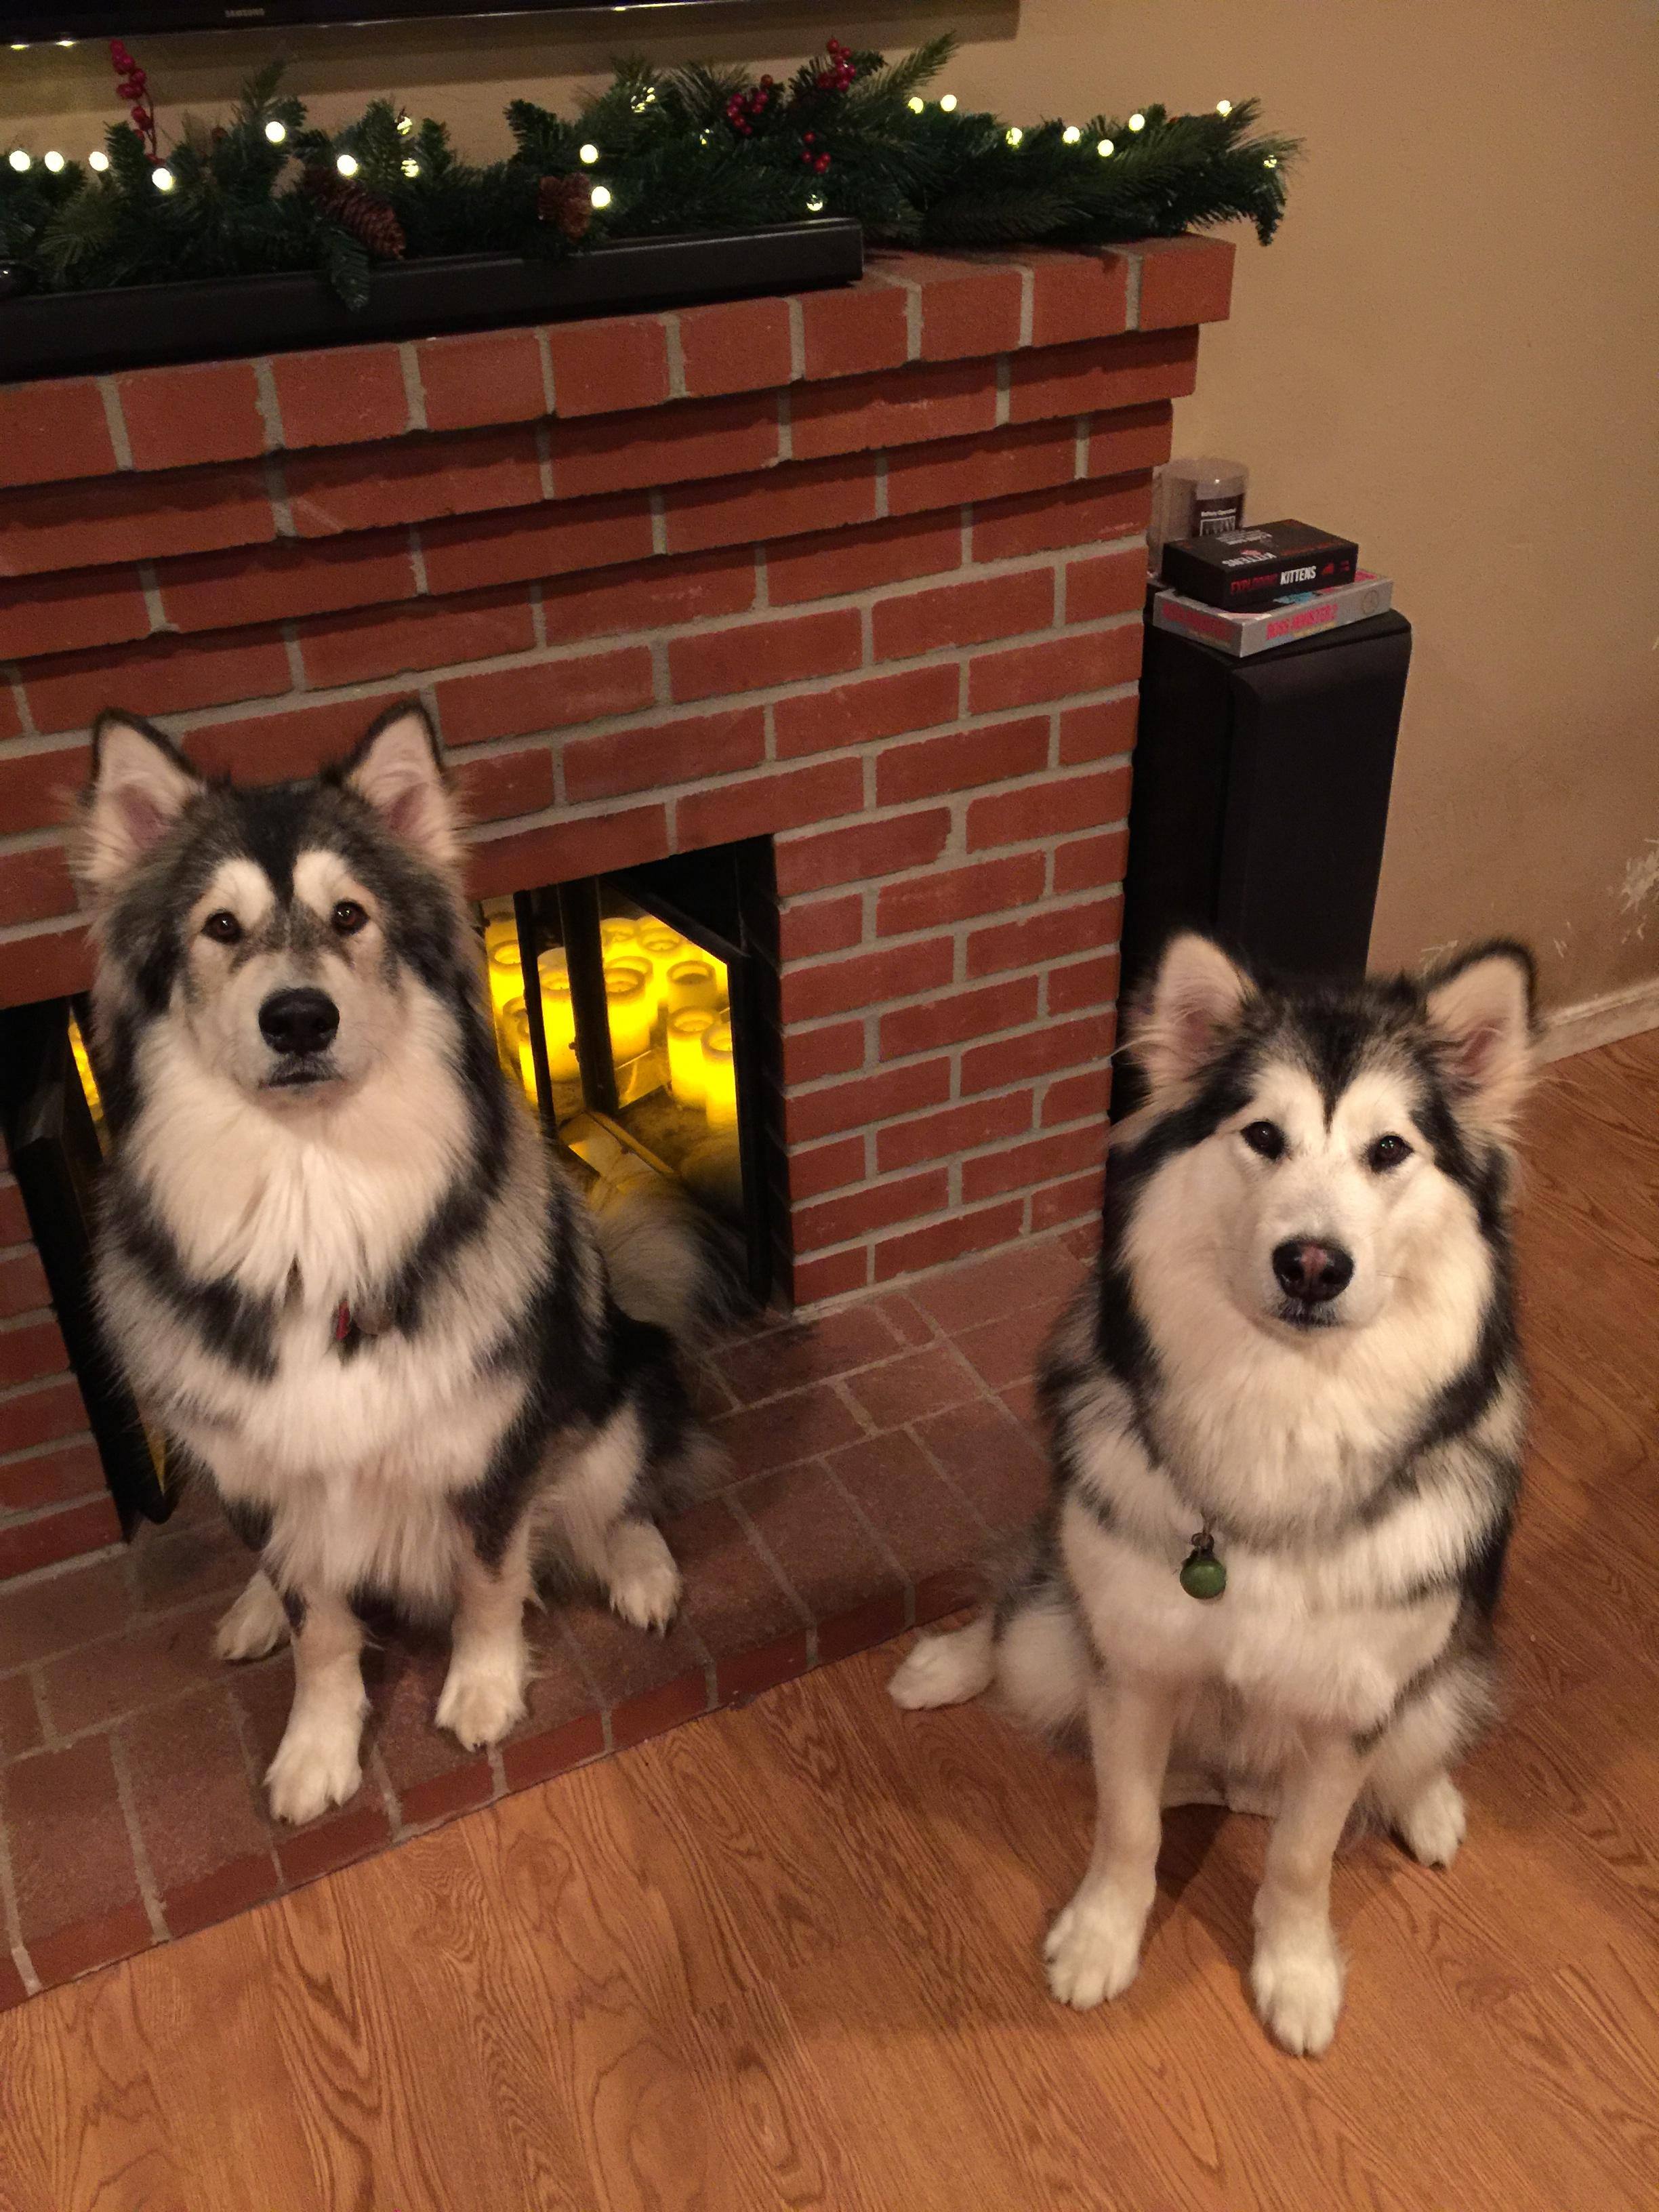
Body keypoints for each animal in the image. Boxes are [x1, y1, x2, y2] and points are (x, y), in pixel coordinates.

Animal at [76, 702, 720, 1824]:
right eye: (221, 928)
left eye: (349, 916)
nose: (299, 1017)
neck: (313, 1195)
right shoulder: (272, 1475)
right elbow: (322, 1629)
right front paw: (317, 1748)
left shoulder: (492, 1449)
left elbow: (490, 1579)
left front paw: (485, 1688)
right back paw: (253, 1611)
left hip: (616, 1383)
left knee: (614, 1489)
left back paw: (640, 1567)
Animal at [891, 931, 1538, 2054]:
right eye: (1263, 1136)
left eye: (1389, 1151)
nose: (1313, 1263)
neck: (1282, 1407)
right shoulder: (1134, 1666)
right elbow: (1126, 1825)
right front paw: (1104, 1937)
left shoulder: (1350, 1709)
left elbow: (1303, 1859)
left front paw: (1297, 1971)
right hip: (1061, 1639)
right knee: (1022, 1605)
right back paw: (947, 1665)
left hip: (1432, 1683)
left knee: (1421, 1734)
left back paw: (1428, 1804)